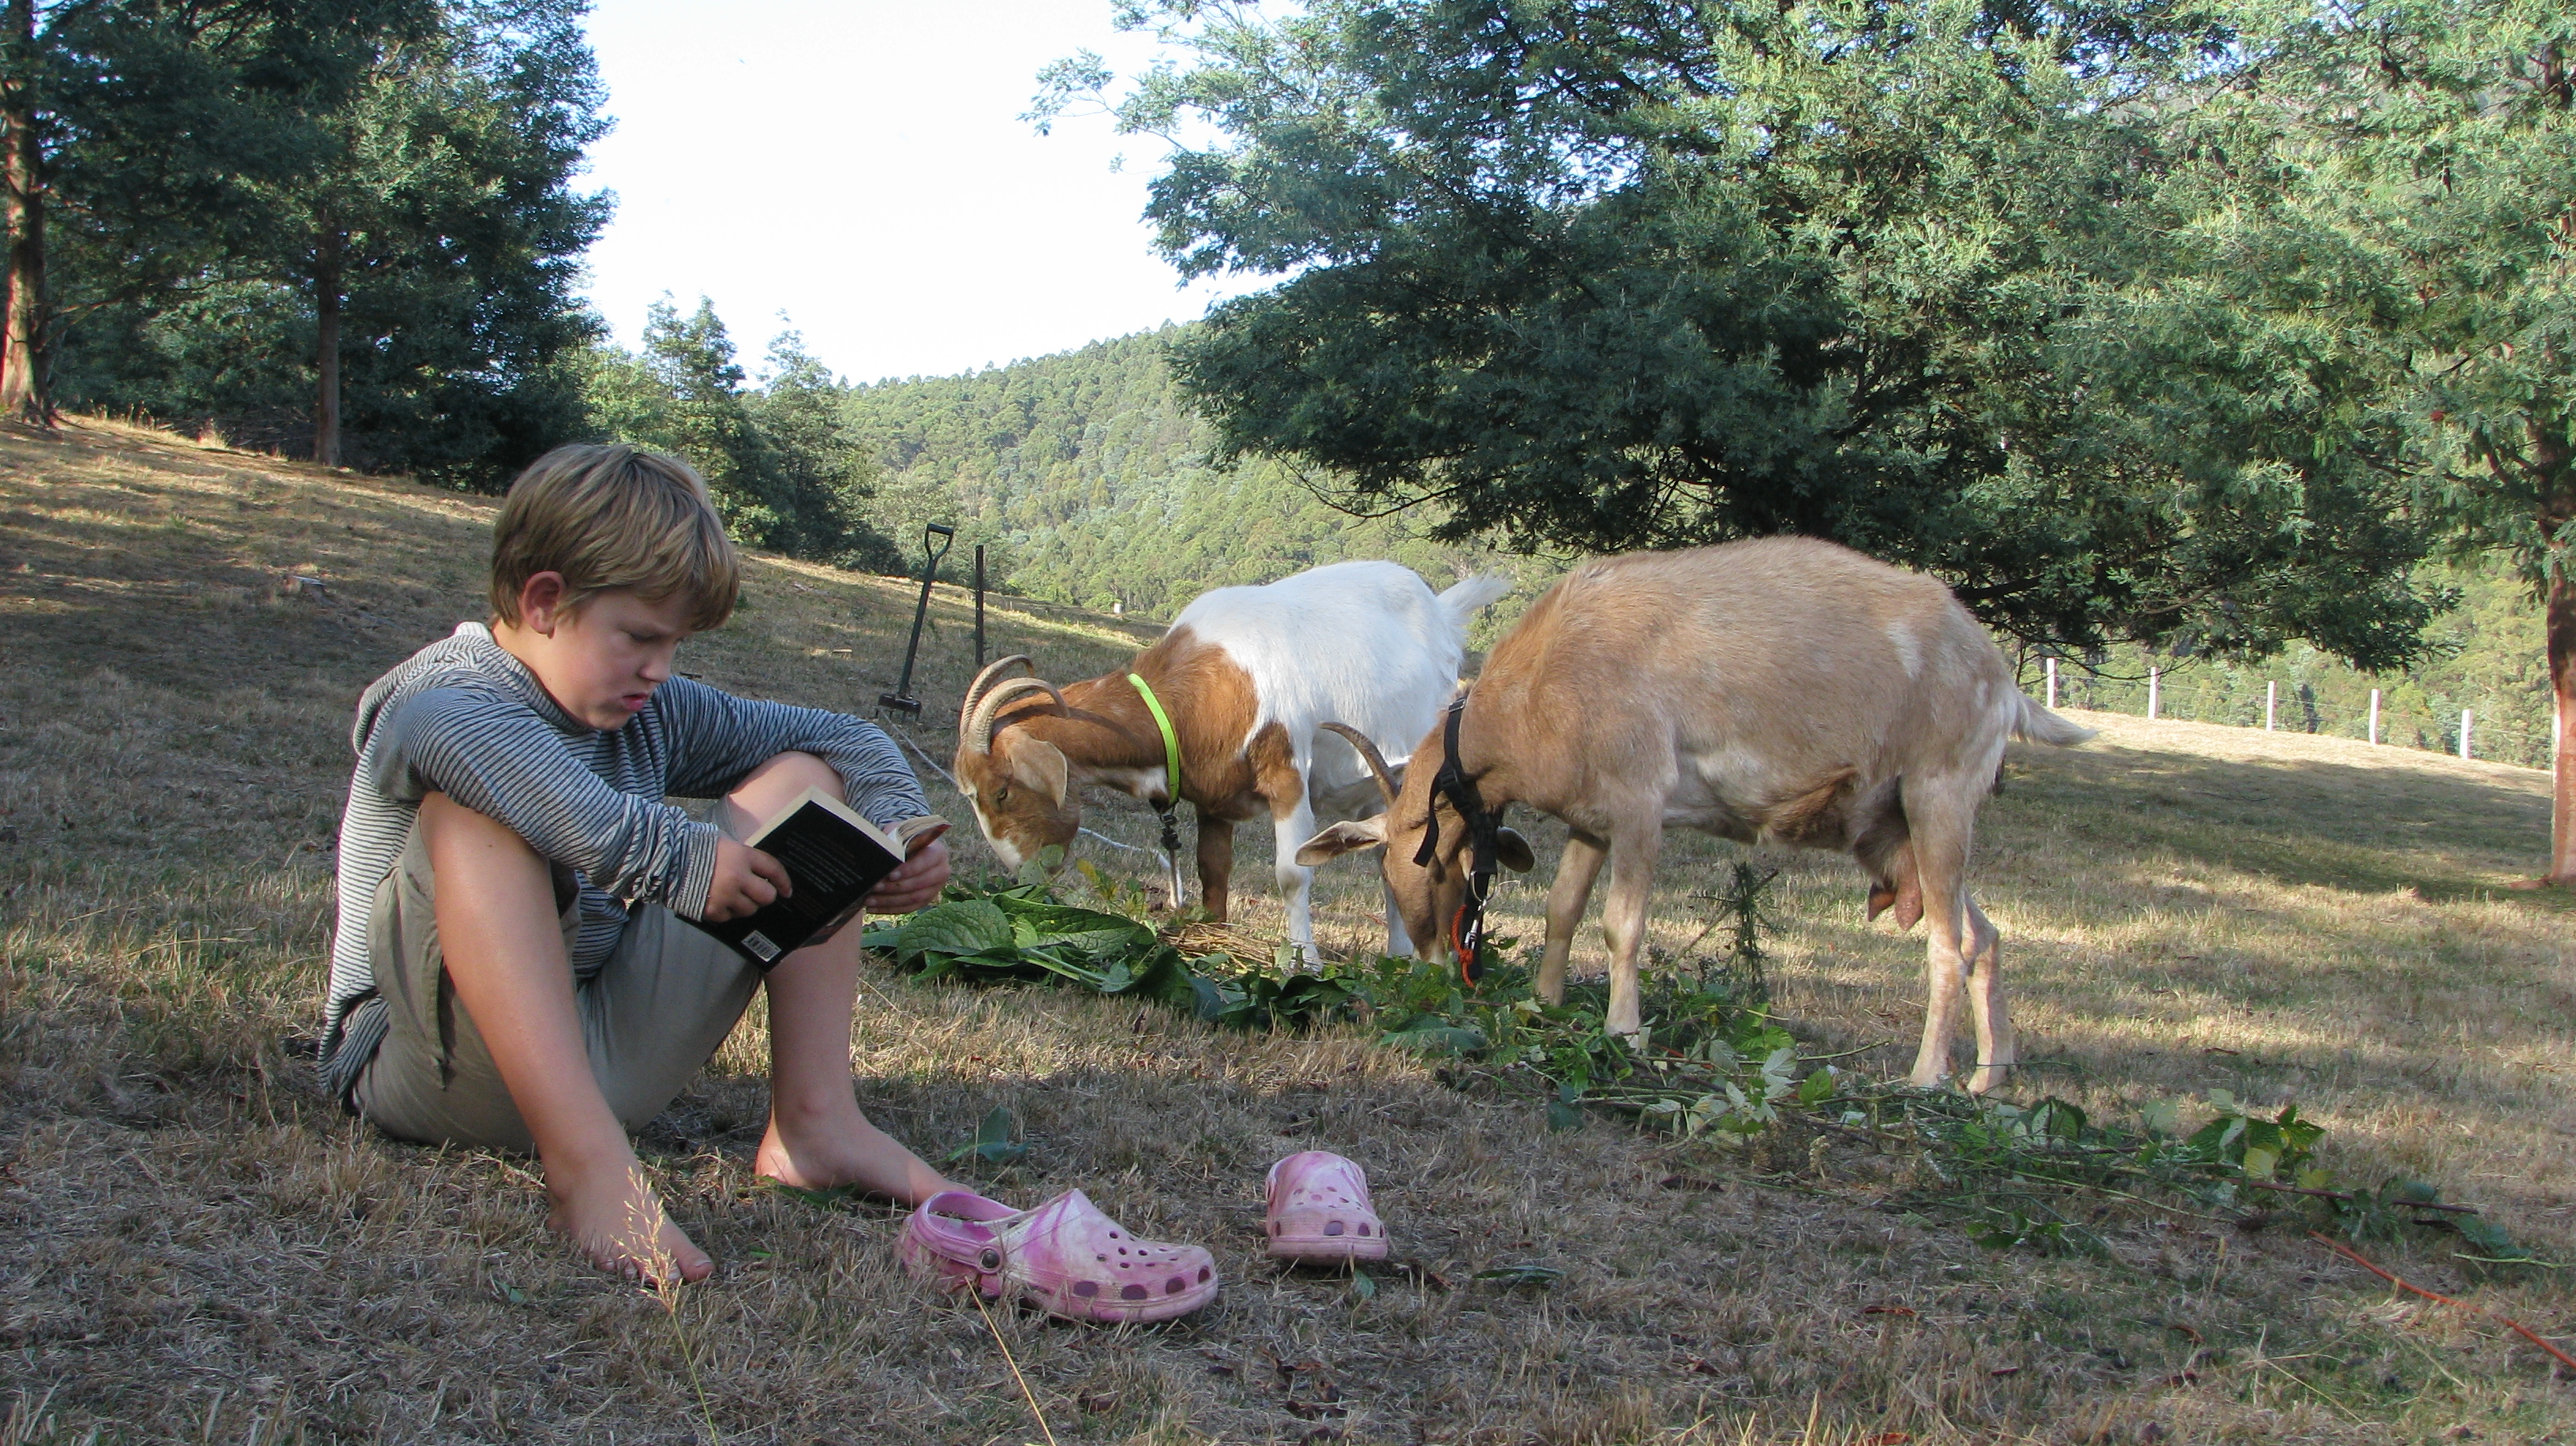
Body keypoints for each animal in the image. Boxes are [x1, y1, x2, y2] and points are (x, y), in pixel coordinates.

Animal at [958, 564, 1504, 958]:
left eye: (1002, 790)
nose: (1021, 877)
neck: (1207, 681)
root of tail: (1443, 613)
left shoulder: (1287, 772)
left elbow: (1292, 873)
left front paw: (1305, 963)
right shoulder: (1211, 796)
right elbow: (1212, 870)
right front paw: (1214, 940)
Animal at [1298, 536, 2102, 1088]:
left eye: (1419, 856)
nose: (1433, 964)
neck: (1540, 686)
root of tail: (2001, 679)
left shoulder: (1639, 800)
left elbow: (1620, 925)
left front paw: (1625, 1031)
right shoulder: (1592, 817)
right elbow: (1562, 909)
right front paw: (1546, 1005)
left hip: (1941, 792)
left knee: (1949, 943)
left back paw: (1928, 1075)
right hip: (1900, 826)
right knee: (1985, 934)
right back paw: (1991, 1077)